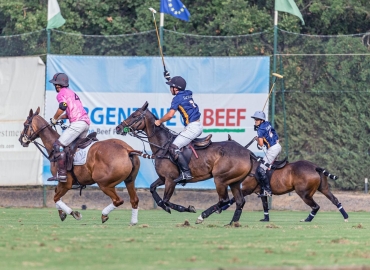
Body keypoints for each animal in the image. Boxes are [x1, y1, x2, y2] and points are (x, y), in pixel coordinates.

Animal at [115, 101, 254, 224]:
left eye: (134, 115)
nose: (118, 128)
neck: (163, 146)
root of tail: (247, 152)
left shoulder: (171, 180)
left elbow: (165, 200)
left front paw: (188, 208)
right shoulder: (163, 178)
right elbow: (153, 189)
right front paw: (170, 208)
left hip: (220, 178)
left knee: (224, 200)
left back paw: (202, 216)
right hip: (234, 181)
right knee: (240, 201)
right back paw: (232, 223)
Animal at [215, 136, 348, 223]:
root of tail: (315, 167)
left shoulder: (248, 189)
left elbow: (233, 199)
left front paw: (220, 209)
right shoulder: (261, 192)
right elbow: (265, 205)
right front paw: (265, 219)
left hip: (304, 193)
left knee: (316, 206)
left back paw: (307, 219)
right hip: (324, 188)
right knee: (335, 200)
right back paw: (346, 217)